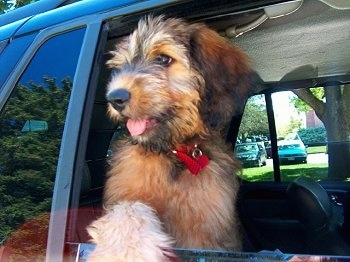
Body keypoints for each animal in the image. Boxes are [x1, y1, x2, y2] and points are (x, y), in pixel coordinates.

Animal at [90, 13, 253, 254]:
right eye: (122, 66)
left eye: (163, 59)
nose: (115, 98)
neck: (173, 152)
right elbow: (129, 208)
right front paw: (125, 248)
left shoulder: (206, 231)